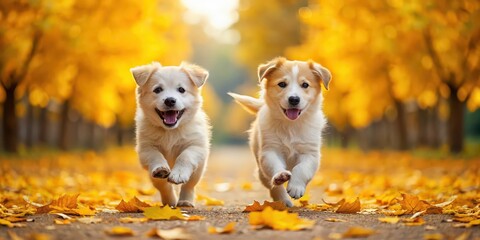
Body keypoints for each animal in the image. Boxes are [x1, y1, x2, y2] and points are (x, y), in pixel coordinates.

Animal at [131, 62, 210, 208]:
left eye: (181, 90)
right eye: (157, 90)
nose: (170, 100)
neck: (171, 131)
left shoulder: (196, 146)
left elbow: (185, 156)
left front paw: (178, 174)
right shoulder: (146, 148)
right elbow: (156, 156)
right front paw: (161, 168)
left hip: (198, 171)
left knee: (189, 186)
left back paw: (185, 201)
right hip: (152, 176)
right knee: (162, 186)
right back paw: (170, 201)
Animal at [229, 57, 330, 206]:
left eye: (305, 85)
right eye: (282, 84)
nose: (294, 99)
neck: (290, 126)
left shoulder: (310, 153)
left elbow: (301, 168)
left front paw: (296, 187)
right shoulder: (269, 151)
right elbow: (275, 167)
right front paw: (280, 176)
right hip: (261, 171)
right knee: (273, 186)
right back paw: (283, 201)